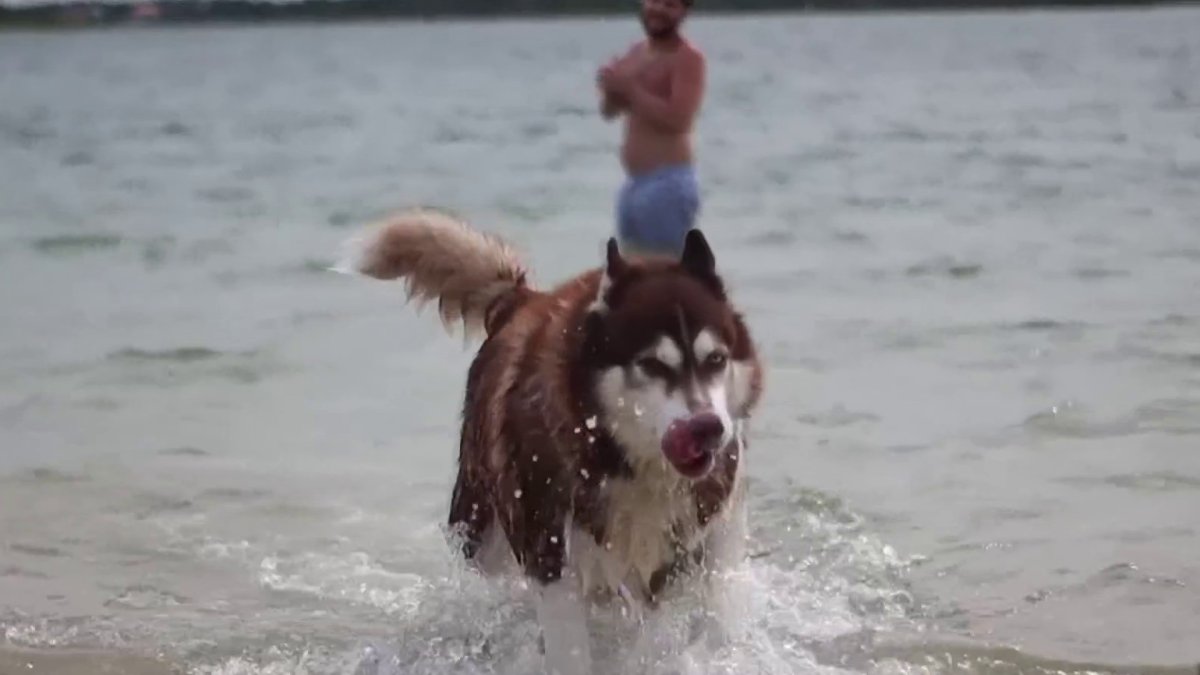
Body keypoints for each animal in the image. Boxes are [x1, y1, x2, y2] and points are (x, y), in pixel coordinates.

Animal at [336, 208, 768, 672]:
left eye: (716, 360)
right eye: (652, 364)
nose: (709, 427)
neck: (623, 461)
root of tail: (522, 299)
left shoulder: (695, 547)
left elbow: (695, 627)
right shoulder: (551, 558)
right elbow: (572, 650)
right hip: (483, 530)